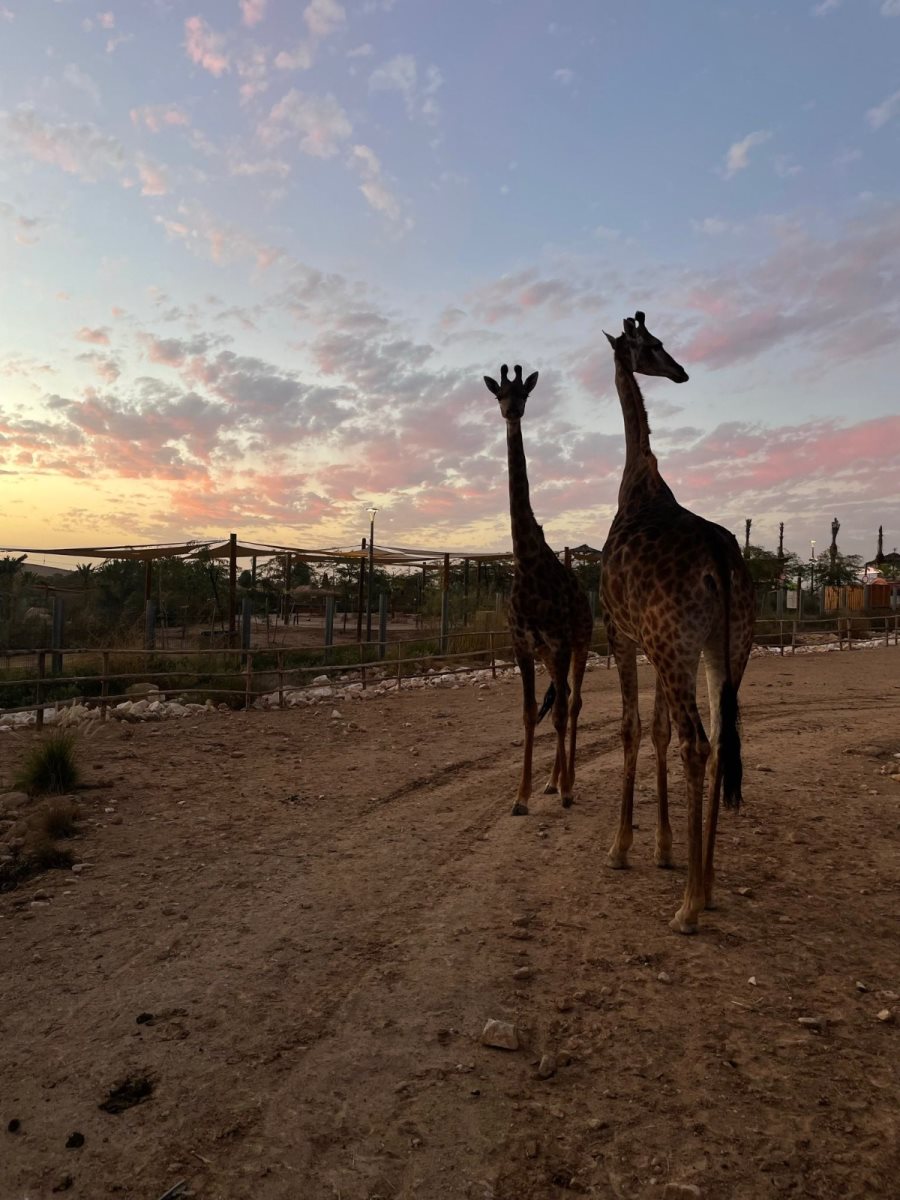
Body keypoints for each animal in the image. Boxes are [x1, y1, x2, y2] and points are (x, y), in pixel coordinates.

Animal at [487, 364, 600, 816]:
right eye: (498, 393)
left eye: (526, 394)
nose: (511, 411)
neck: (528, 563)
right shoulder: (523, 644)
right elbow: (529, 712)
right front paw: (521, 797)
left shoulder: (562, 640)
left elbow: (559, 711)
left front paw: (568, 790)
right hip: (550, 654)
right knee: (562, 697)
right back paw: (552, 782)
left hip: (581, 641)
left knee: (574, 701)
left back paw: (565, 783)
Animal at [602, 314, 758, 931]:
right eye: (652, 344)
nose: (681, 372)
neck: (635, 483)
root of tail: (720, 556)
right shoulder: (655, 644)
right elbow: (659, 730)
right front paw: (666, 850)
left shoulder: (623, 637)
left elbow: (633, 728)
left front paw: (622, 848)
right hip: (726, 646)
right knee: (721, 734)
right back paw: (707, 885)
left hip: (678, 645)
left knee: (698, 742)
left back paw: (689, 907)